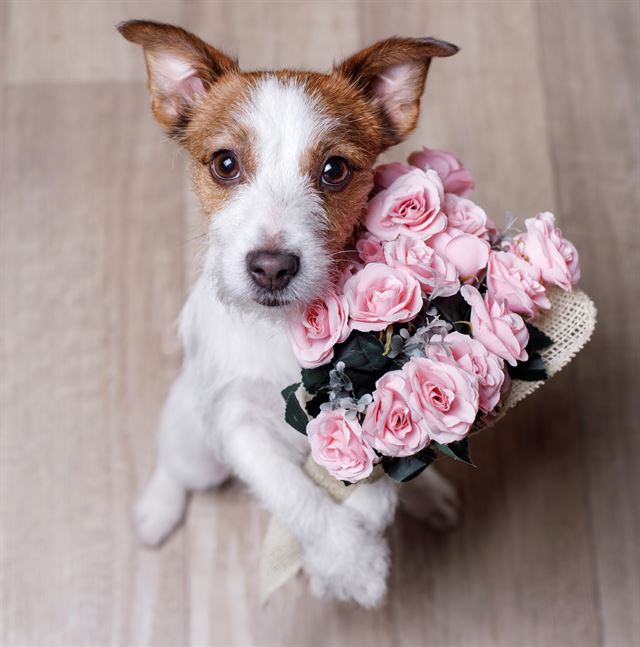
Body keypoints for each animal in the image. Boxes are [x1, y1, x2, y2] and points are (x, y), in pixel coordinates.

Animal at [119, 20, 460, 608]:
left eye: (335, 169)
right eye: (225, 164)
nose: (272, 267)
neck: (286, 329)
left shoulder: (381, 390)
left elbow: (378, 474)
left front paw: (363, 528)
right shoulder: (237, 424)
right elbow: (294, 495)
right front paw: (349, 563)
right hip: (195, 440)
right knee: (176, 466)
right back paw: (156, 511)